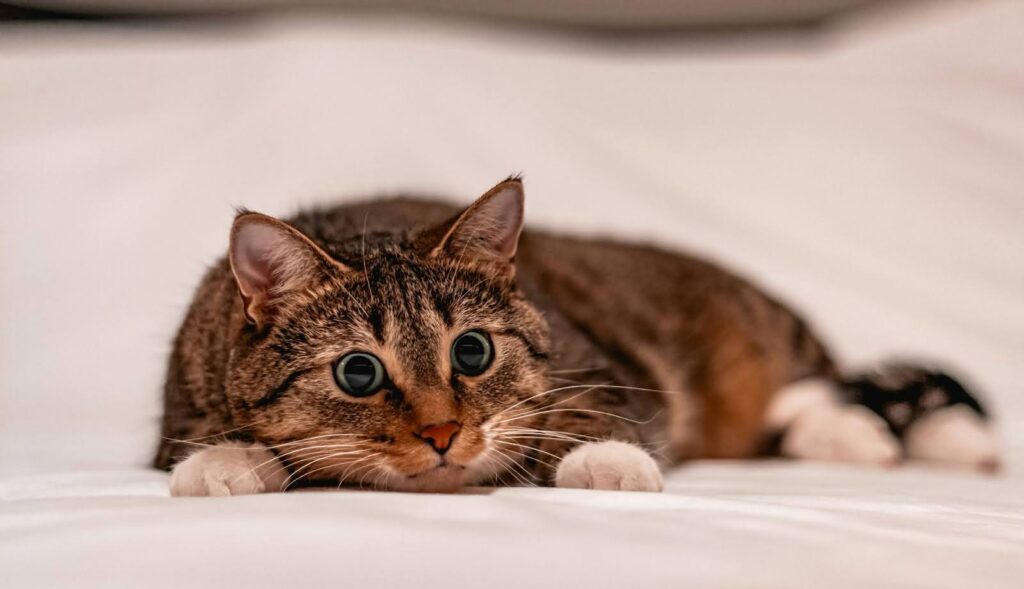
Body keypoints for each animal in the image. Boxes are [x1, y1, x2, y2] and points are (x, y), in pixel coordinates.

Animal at [153, 177, 999, 495]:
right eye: (358, 373)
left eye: (472, 351)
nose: (442, 433)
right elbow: (205, 440)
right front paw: (225, 460)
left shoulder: (601, 365)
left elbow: (591, 411)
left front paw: (607, 459)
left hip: (770, 336)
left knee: (842, 387)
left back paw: (939, 441)